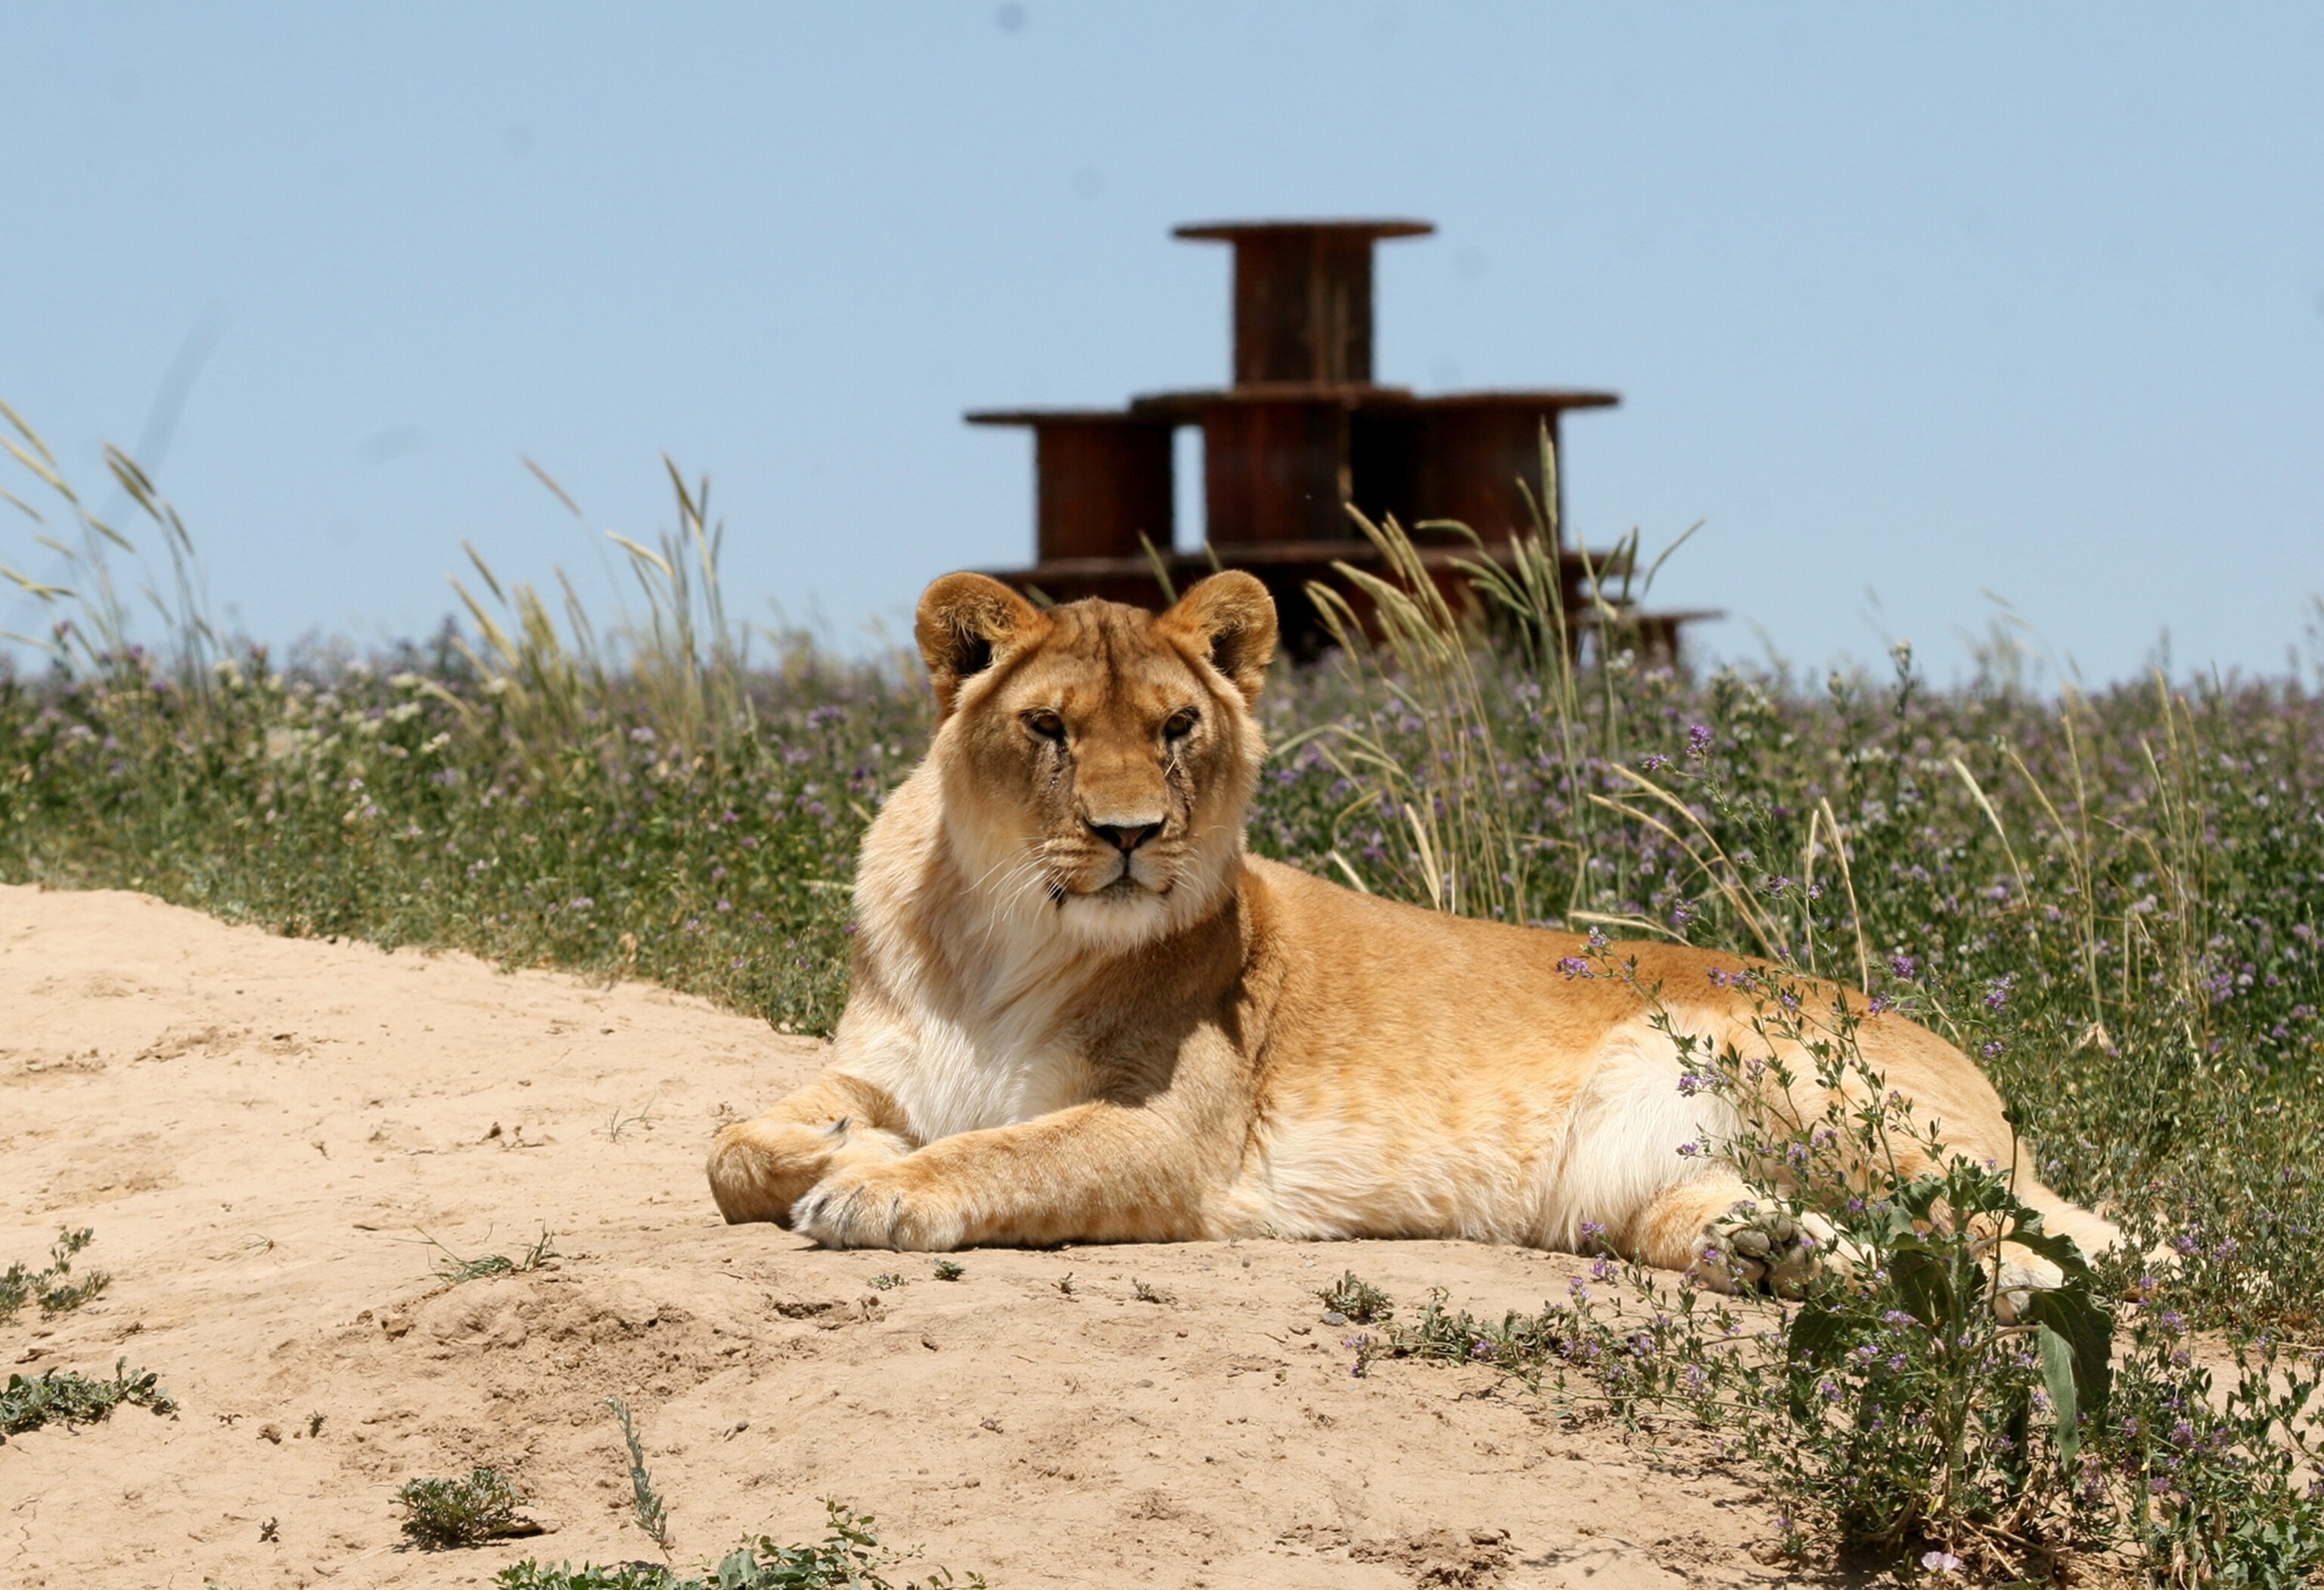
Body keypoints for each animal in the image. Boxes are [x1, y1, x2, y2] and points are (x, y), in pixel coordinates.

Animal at [707, 571, 2120, 1301]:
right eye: (1049, 728)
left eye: (1175, 726)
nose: (1127, 834)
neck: (1003, 928)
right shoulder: (885, 1062)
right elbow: (731, 1148)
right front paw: (825, 1146)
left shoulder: (1171, 1139)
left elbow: (1008, 1150)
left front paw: (873, 1186)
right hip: (1628, 1195)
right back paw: (1788, 1255)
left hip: (1801, 1080)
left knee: (2080, 1241)